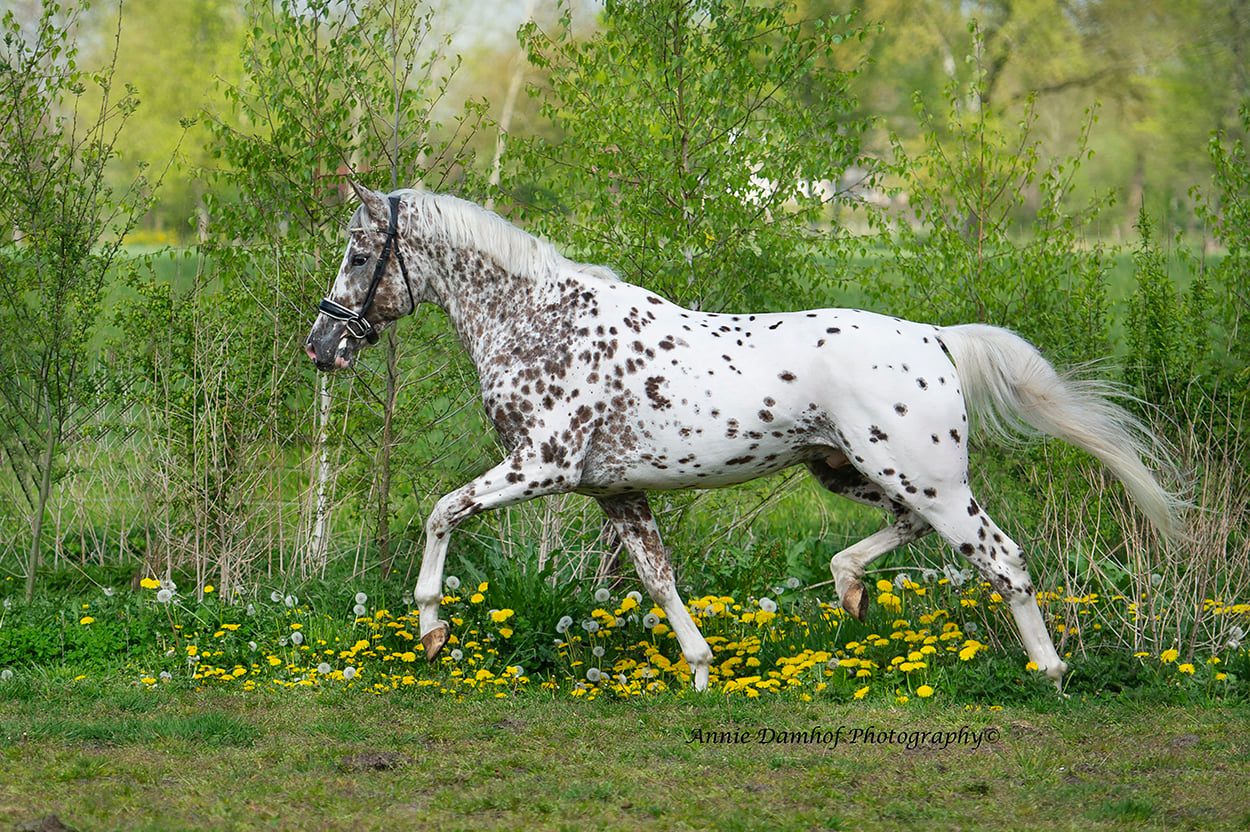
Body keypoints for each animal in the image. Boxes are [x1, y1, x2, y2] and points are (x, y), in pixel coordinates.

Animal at [305, 184, 1180, 689]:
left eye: (360, 253)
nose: (323, 345)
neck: (540, 324)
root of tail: (935, 338)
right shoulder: (612, 491)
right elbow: (658, 579)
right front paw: (699, 672)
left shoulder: (538, 467)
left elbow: (440, 512)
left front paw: (432, 631)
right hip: (855, 471)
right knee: (904, 533)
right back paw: (850, 589)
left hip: (931, 482)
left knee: (1003, 559)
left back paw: (1050, 672)